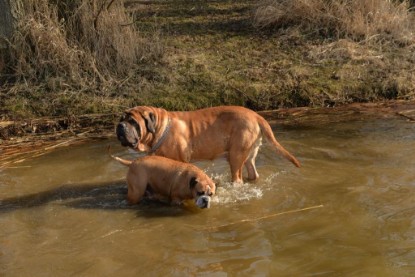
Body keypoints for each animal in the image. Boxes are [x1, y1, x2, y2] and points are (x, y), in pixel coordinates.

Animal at [115, 105, 300, 183]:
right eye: (121, 119)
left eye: (133, 122)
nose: (120, 126)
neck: (160, 128)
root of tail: (256, 115)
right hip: (249, 155)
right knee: (253, 173)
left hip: (236, 156)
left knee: (237, 177)